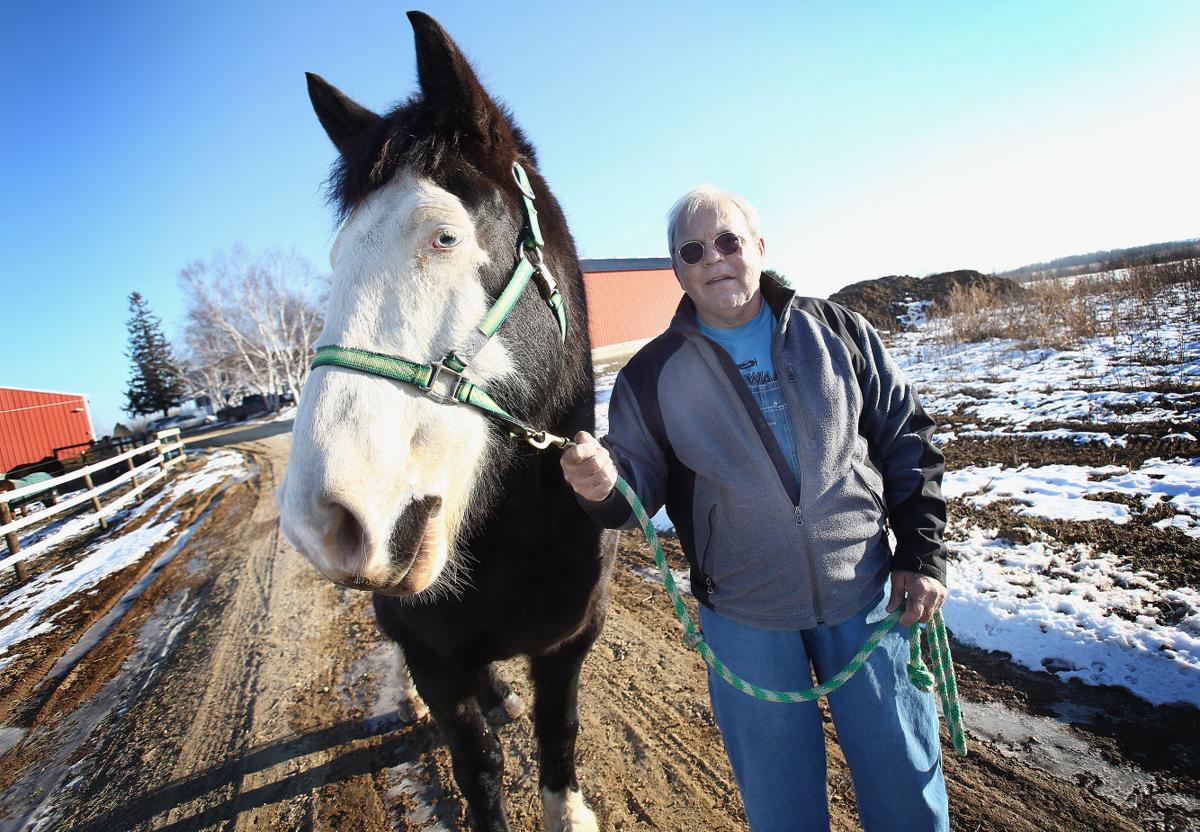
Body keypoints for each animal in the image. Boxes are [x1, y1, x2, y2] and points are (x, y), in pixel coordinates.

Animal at [276, 12, 613, 831]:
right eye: (337, 257)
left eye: (445, 237)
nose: (320, 521)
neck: (518, 529)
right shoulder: (434, 659)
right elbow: (477, 768)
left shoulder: (570, 644)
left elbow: (559, 738)